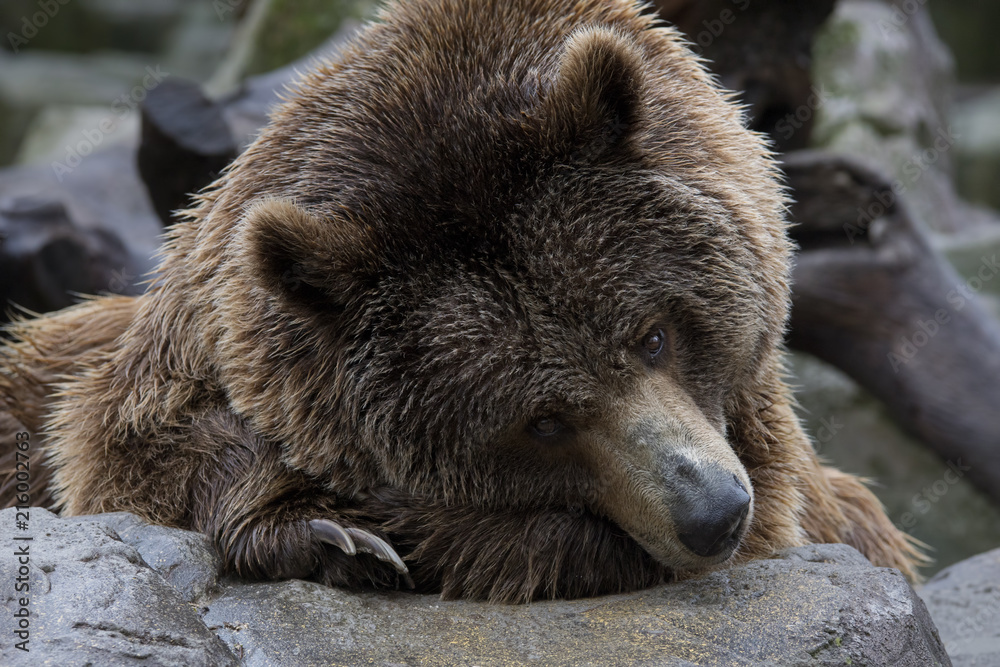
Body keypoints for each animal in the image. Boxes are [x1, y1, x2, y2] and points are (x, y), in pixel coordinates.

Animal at [0, 0, 924, 604]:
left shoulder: (785, 477)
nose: (711, 513)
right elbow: (129, 453)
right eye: (541, 420)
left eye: (653, 334)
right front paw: (334, 530)